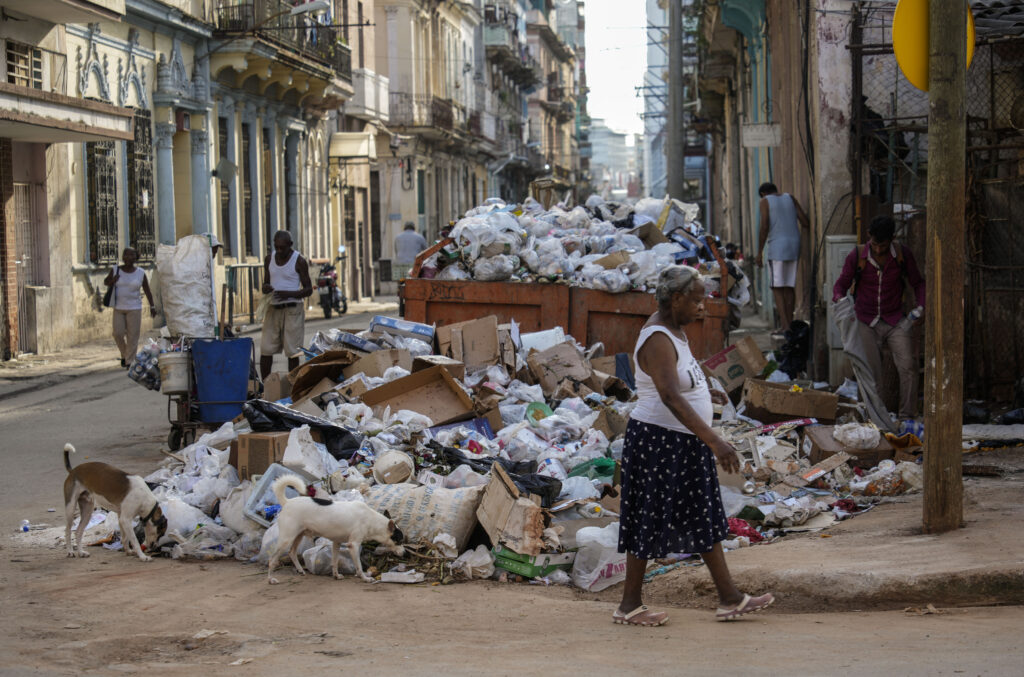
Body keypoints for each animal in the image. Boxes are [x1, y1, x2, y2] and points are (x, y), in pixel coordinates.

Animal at [266, 473, 405, 581]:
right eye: (399, 541)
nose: (405, 553)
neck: (371, 520)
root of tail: (287, 502)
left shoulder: (336, 543)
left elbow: (334, 561)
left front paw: (336, 575)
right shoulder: (353, 545)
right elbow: (359, 566)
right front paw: (365, 578)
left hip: (298, 535)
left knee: (292, 552)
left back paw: (300, 570)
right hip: (286, 539)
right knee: (272, 560)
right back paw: (271, 579)